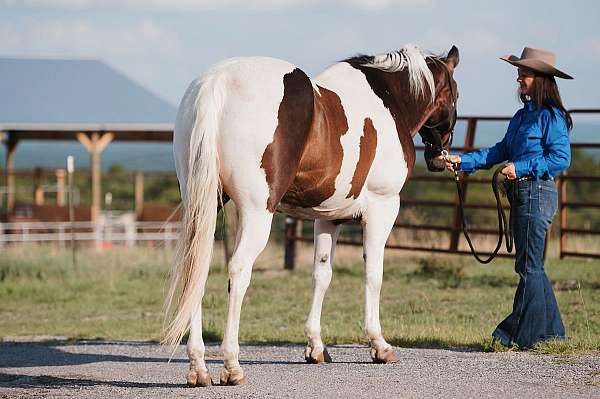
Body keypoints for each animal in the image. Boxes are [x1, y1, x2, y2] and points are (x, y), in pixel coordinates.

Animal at [164, 43, 460, 388]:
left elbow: (321, 275)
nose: (441, 156)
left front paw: (316, 347)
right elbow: (373, 275)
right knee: (238, 272)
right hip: (256, 212)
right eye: (454, 93)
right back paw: (231, 364)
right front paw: (379, 345)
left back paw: (198, 367)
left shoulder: (328, 218)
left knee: (195, 271)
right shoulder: (382, 208)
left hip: (204, 207)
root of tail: (217, 84)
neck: (388, 99)